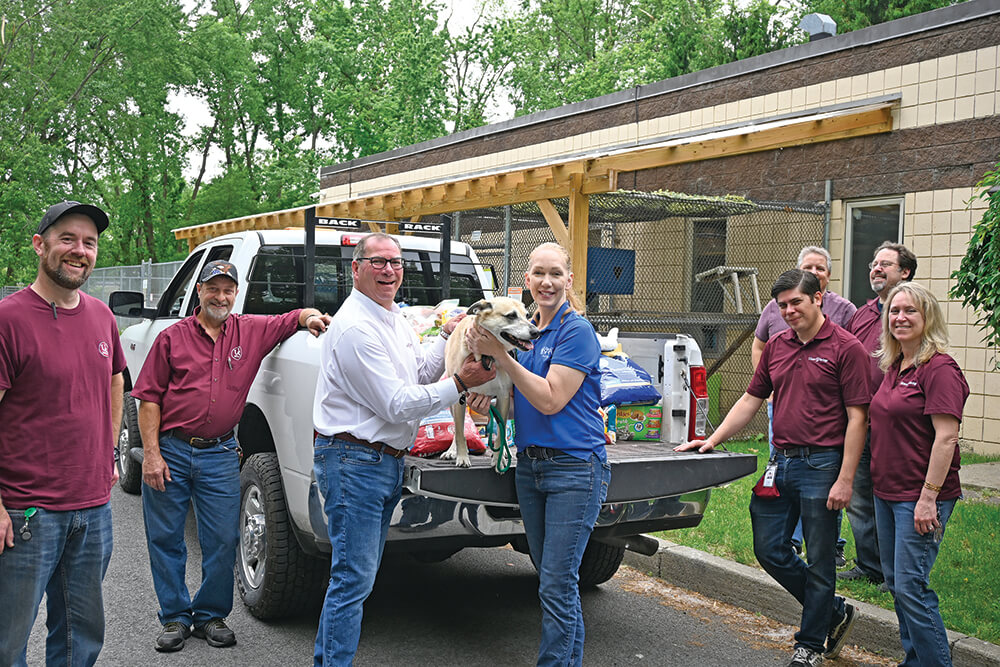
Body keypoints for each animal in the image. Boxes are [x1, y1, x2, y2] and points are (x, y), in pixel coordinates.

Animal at [442, 300, 540, 468]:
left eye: (527, 315)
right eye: (511, 316)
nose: (536, 332)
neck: (486, 356)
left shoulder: (503, 397)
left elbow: (500, 433)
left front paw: (498, 460)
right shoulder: (460, 398)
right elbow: (460, 432)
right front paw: (462, 457)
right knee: (456, 427)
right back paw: (452, 450)